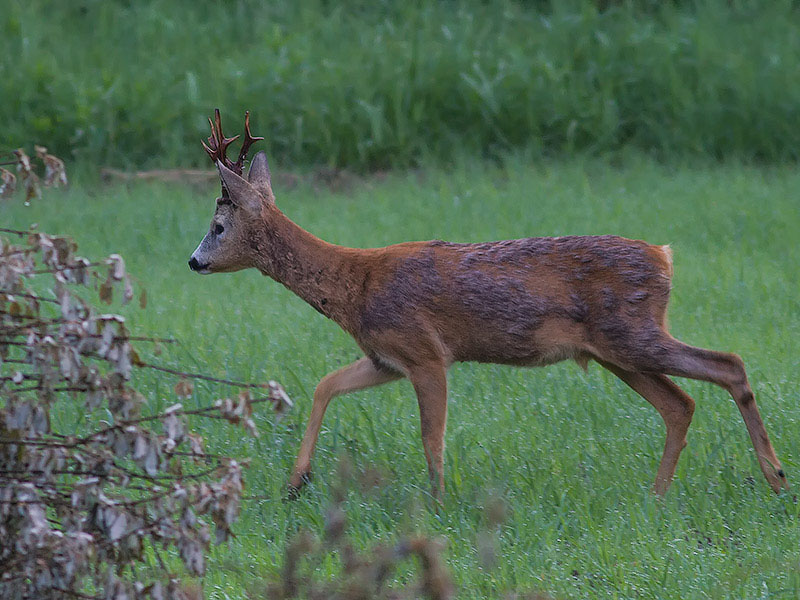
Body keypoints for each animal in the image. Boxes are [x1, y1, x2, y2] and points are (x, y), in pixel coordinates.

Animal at [189, 110, 788, 500]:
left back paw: (775, 477)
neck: (355, 287)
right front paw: (296, 481)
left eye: (217, 226)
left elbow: (431, 436)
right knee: (679, 403)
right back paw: (659, 495)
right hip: (619, 350)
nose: (193, 262)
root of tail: (664, 257)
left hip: (633, 332)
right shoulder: (387, 357)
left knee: (727, 364)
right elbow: (325, 385)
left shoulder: (426, 351)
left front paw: (438, 503)